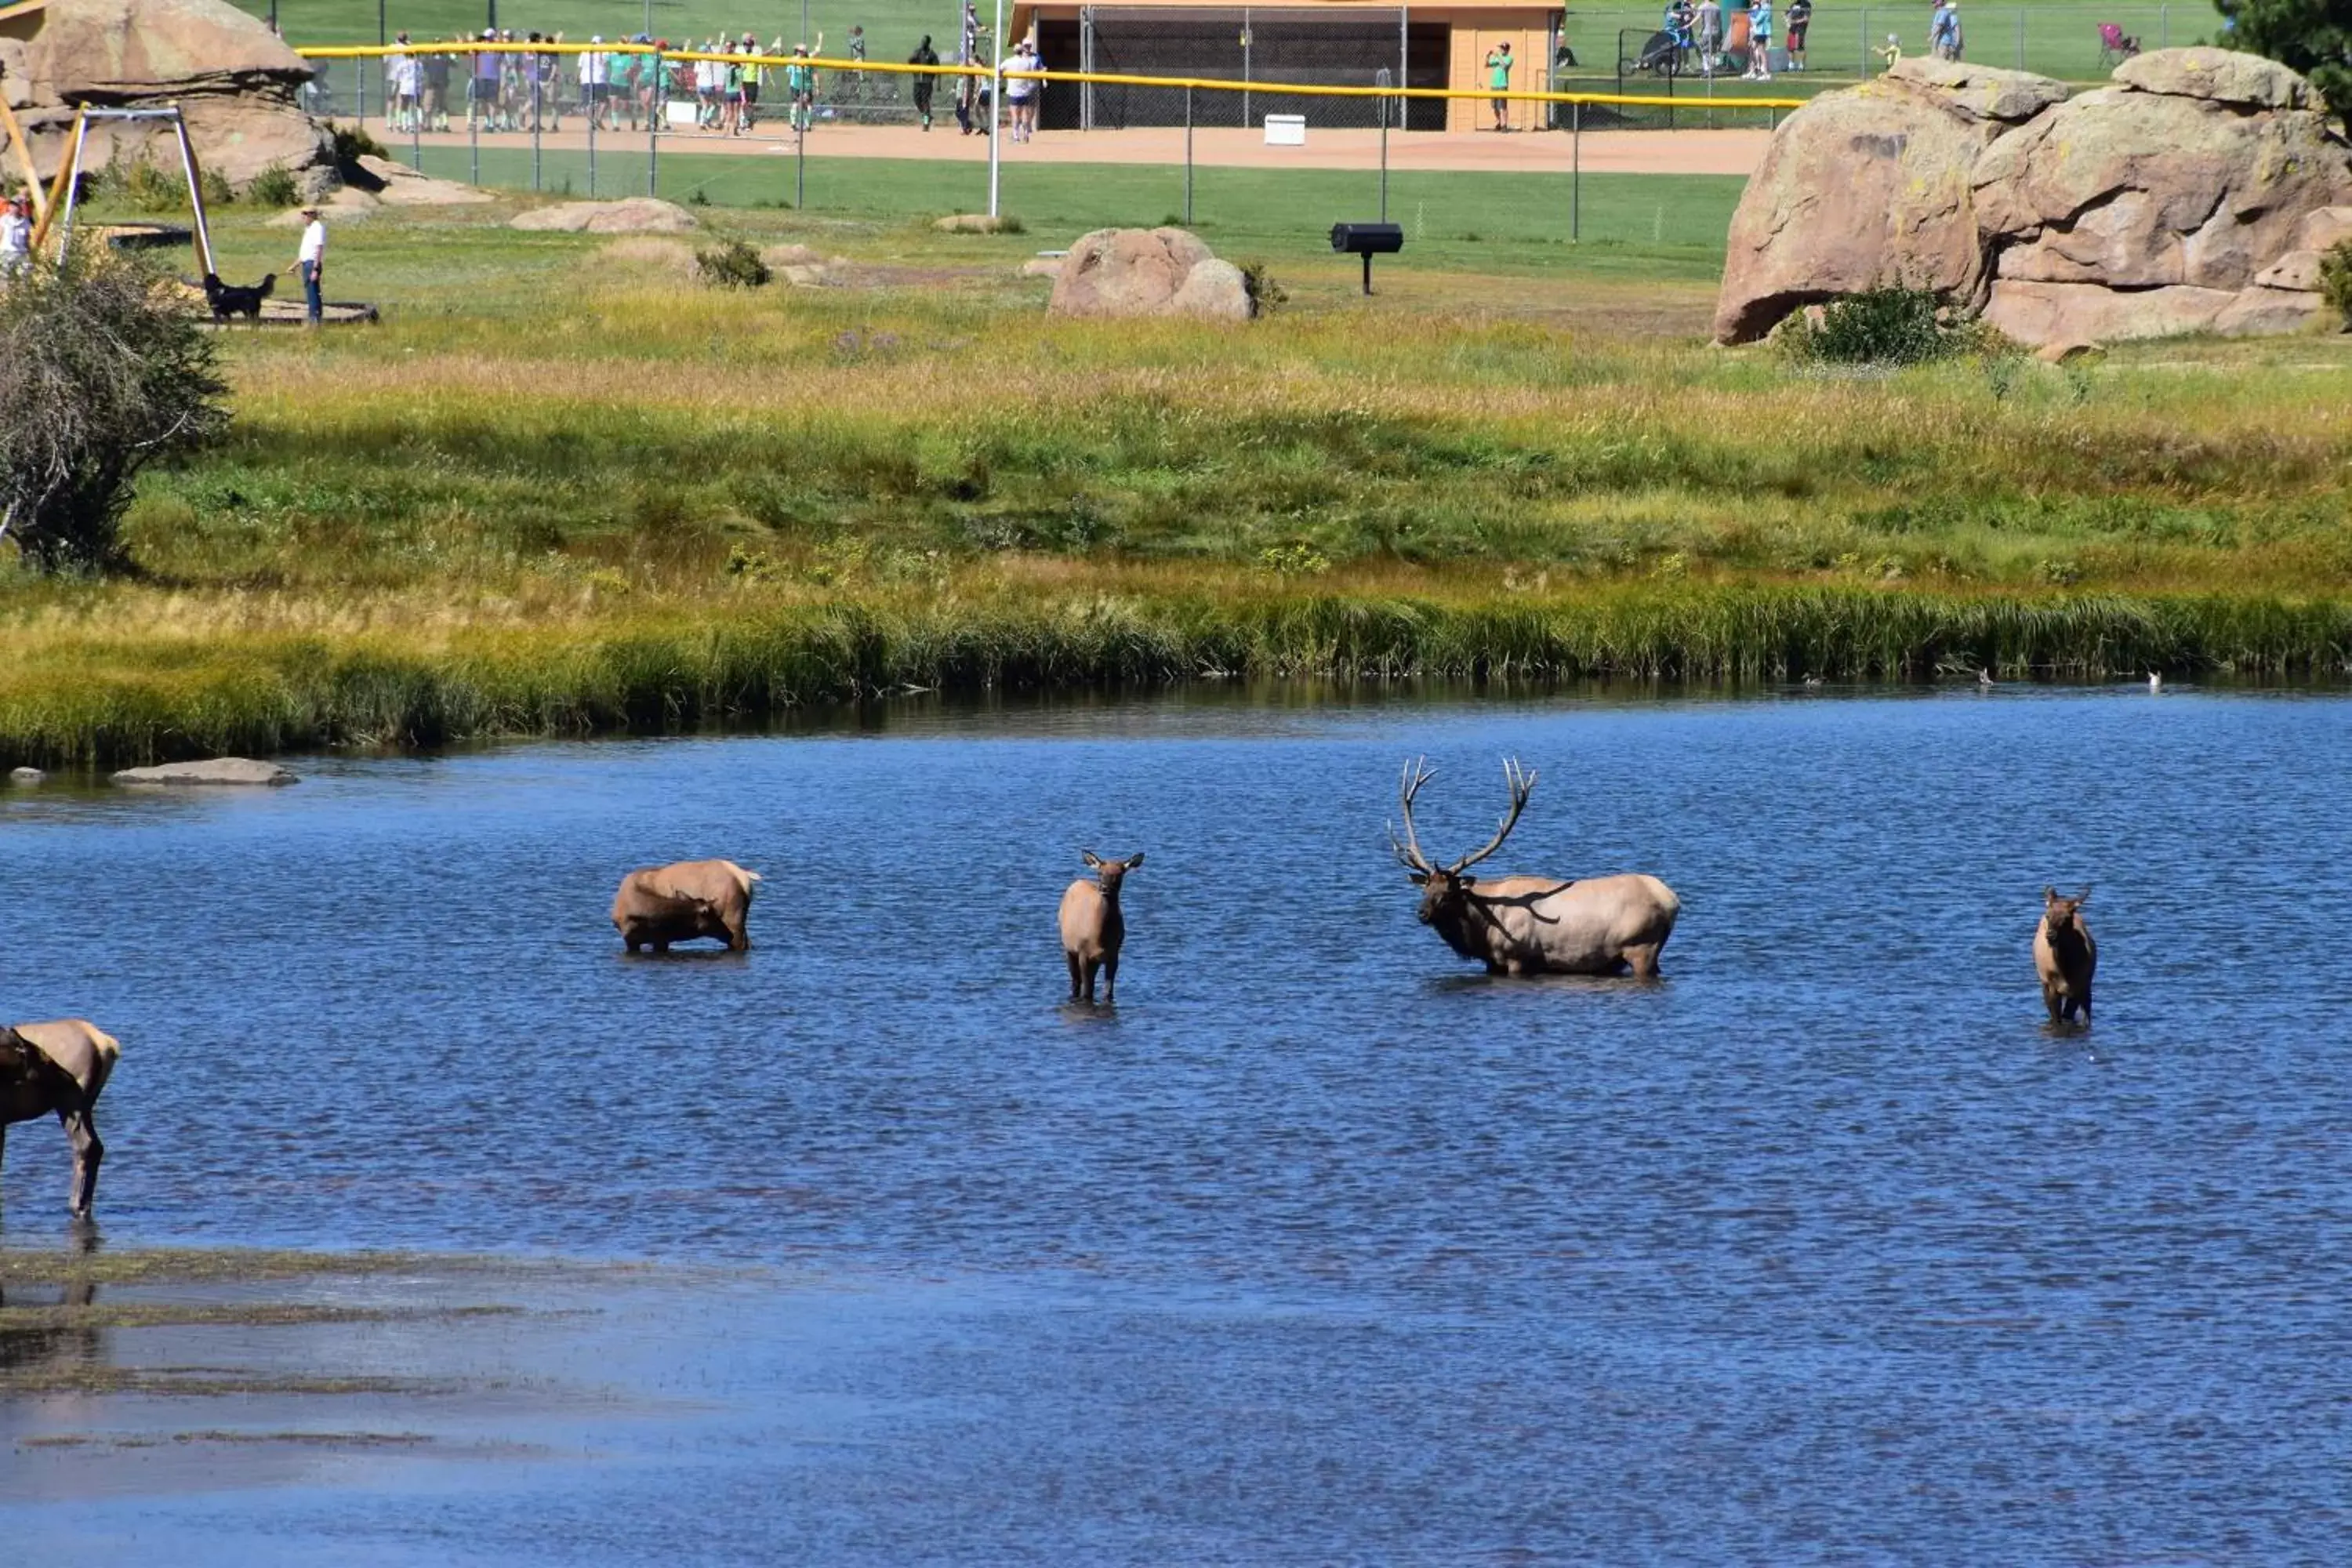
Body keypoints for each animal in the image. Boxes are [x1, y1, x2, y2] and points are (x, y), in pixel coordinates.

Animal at [0, 1020, 120, 1222]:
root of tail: (106, 1044)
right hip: (86, 1104)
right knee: (96, 1147)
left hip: (69, 1101)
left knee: (84, 1145)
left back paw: (76, 1205)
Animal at [1063, 860, 1143, 1006]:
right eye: (1100, 872)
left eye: (1119, 874)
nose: (1104, 888)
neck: (1100, 939)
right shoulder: (1083, 953)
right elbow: (1087, 992)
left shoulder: (1114, 955)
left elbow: (1108, 992)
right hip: (1069, 949)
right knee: (1076, 981)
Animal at [1383, 761, 1684, 982]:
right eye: (1426, 887)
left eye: (1448, 891)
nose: (1422, 913)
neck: (1483, 929)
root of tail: (1672, 900)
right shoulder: (1493, 962)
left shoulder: (1518, 957)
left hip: (1641, 947)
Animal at [2032, 884, 2107, 1029]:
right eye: (2048, 916)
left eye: (2067, 917)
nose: (2050, 935)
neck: (2064, 967)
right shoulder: (2051, 987)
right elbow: (2057, 1018)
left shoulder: (2080, 984)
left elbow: (2069, 1016)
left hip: (2087, 985)